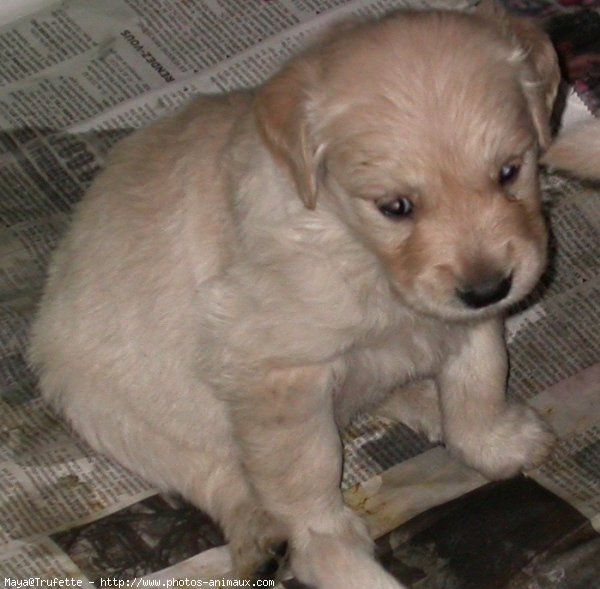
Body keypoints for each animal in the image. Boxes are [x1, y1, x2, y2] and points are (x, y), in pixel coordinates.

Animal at [30, 2, 560, 584]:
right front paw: (333, 554)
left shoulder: (469, 310)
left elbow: (480, 377)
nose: (488, 288)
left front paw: (494, 441)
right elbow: (305, 473)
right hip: (113, 410)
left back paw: (422, 400)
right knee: (219, 474)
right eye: (395, 207)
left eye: (509, 171)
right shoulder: (274, 369)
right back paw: (261, 536)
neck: (359, 250)